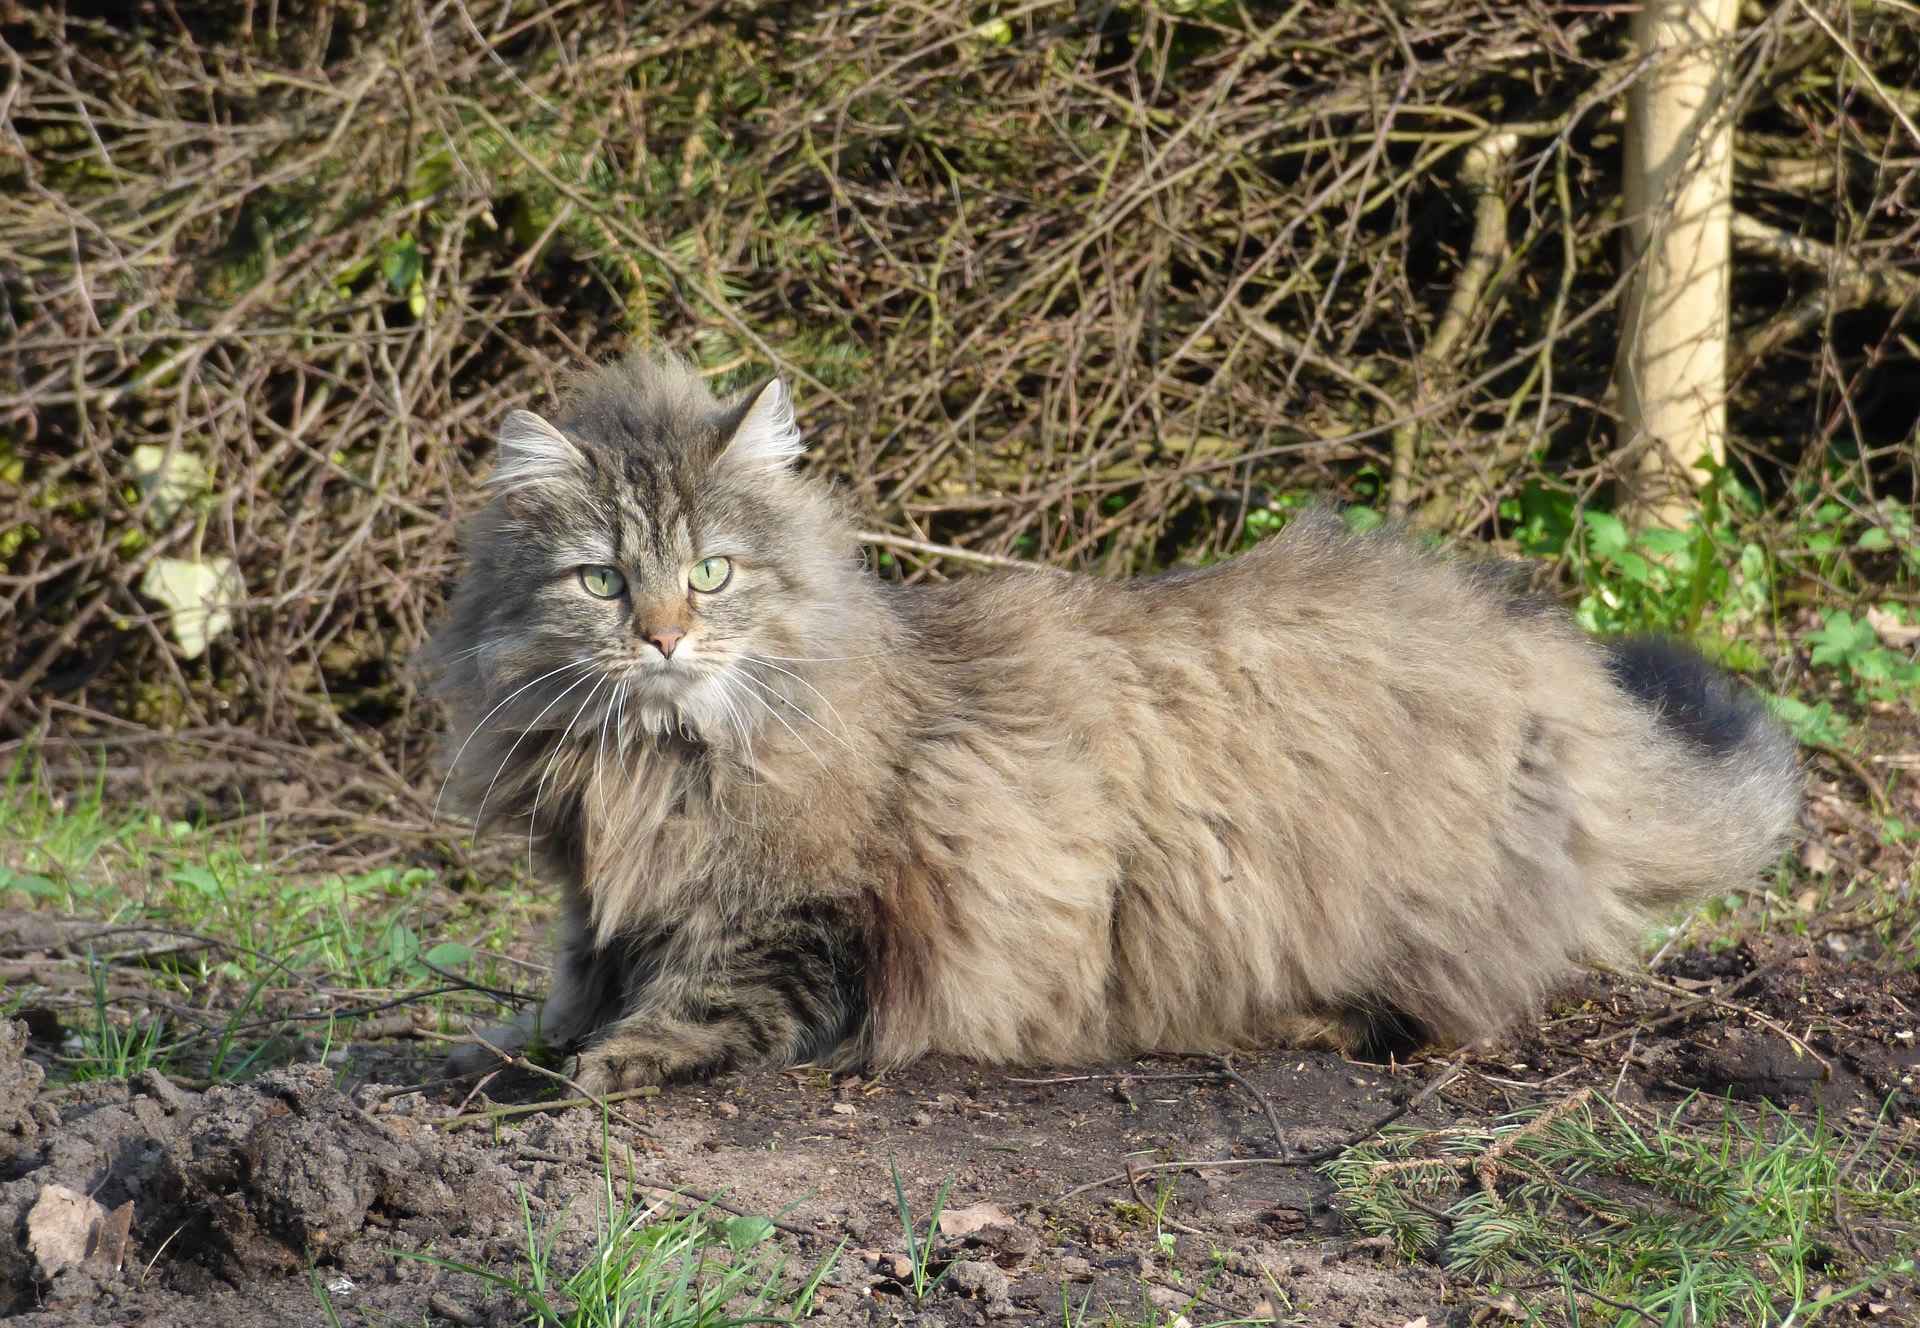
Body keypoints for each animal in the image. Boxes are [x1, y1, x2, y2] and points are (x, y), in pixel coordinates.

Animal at [420, 349, 1797, 1090]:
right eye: (604, 581)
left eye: (710, 572)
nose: (661, 637)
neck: (649, 763)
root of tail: (1535, 654)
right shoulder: (596, 900)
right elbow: (566, 985)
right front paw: (494, 1048)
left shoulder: (808, 915)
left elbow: (699, 998)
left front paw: (607, 1064)